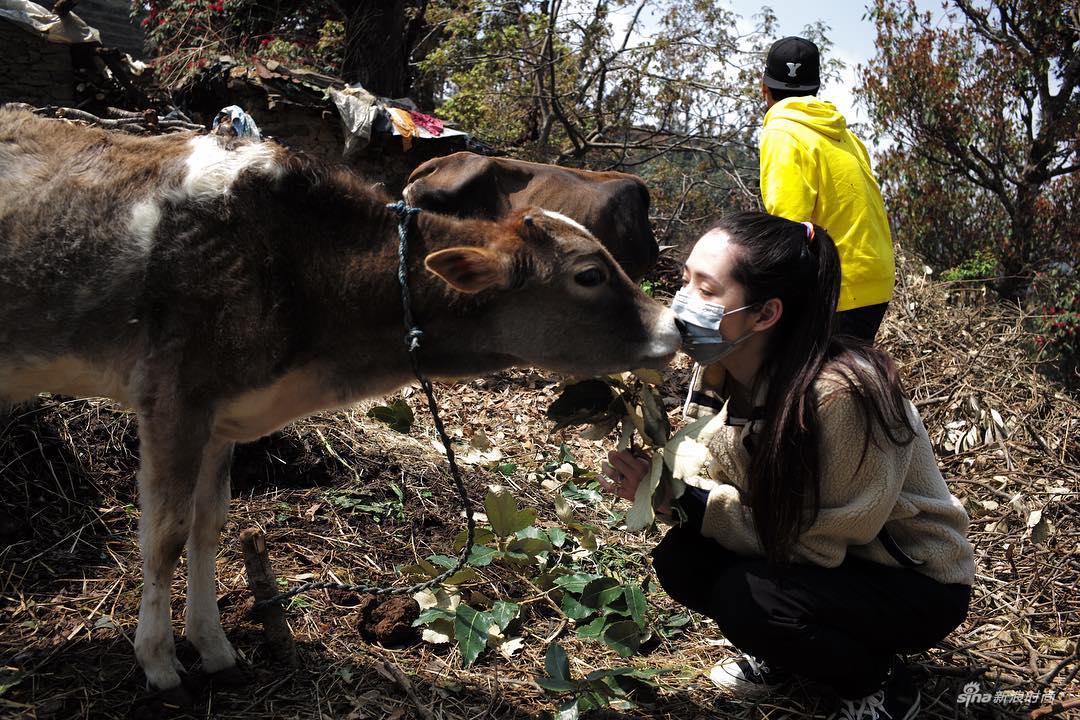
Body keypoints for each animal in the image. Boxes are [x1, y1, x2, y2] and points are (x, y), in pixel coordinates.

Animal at [0, 111, 673, 690]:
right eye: (589, 275)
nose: (672, 326)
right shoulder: (174, 396)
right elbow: (164, 533)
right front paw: (160, 660)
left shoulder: (222, 414)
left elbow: (207, 525)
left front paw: (213, 645)